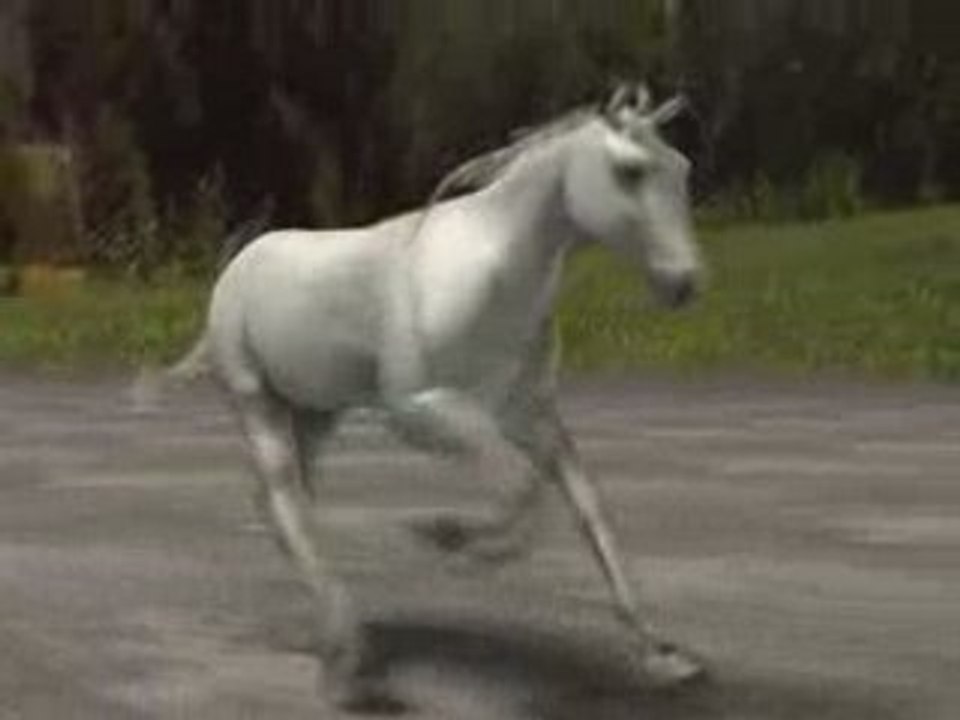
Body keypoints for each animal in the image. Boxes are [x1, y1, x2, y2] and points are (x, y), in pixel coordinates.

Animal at [138, 82, 706, 709]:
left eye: (681, 168)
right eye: (628, 171)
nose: (684, 283)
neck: (493, 273)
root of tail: (238, 265)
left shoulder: (534, 417)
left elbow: (587, 514)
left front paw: (664, 657)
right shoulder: (417, 410)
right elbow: (519, 486)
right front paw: (448, 538)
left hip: (316, 414)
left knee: (283, 509)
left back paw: (339, 646)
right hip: (255, 401)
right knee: (287, 505)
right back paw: (352, 668)